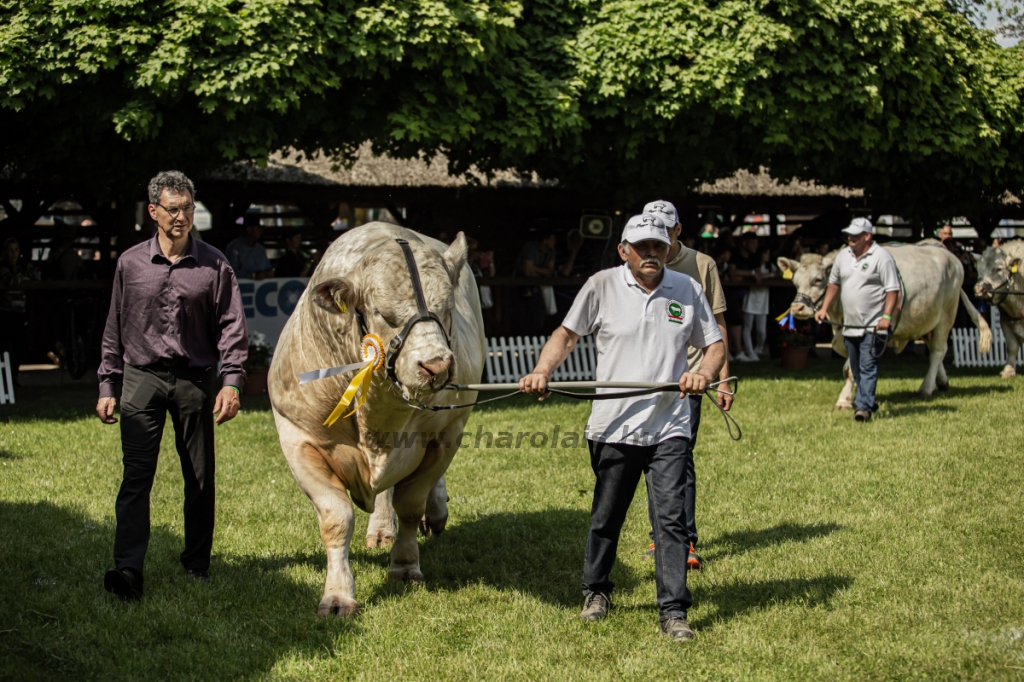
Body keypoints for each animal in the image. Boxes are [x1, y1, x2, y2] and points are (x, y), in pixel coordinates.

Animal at [268, 220, 483, 614]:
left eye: (447, 309)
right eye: (383, 314)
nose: (436, 365)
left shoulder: (444, 433)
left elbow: (411, 505)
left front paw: (405, 566)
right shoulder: (297, 437)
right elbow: (336, 518)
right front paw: (338, 594)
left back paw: (434, 512)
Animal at [778, 241, 987, 405]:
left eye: (818, 280)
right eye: (795, 282)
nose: (797, 308)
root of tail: (948, 254)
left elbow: (852, 368)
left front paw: (845, 400)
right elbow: (849, 366)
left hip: (946, 315)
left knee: (937, 351)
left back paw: (926, 388)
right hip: (925, 318)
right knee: (940, 349)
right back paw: (942, 381)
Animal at [970, 238, 1019, 376]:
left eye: (998, 269)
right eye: (978, 269)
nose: (978, 289)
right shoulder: (1005, 321)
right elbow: (1012, 346)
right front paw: (1008, 371)